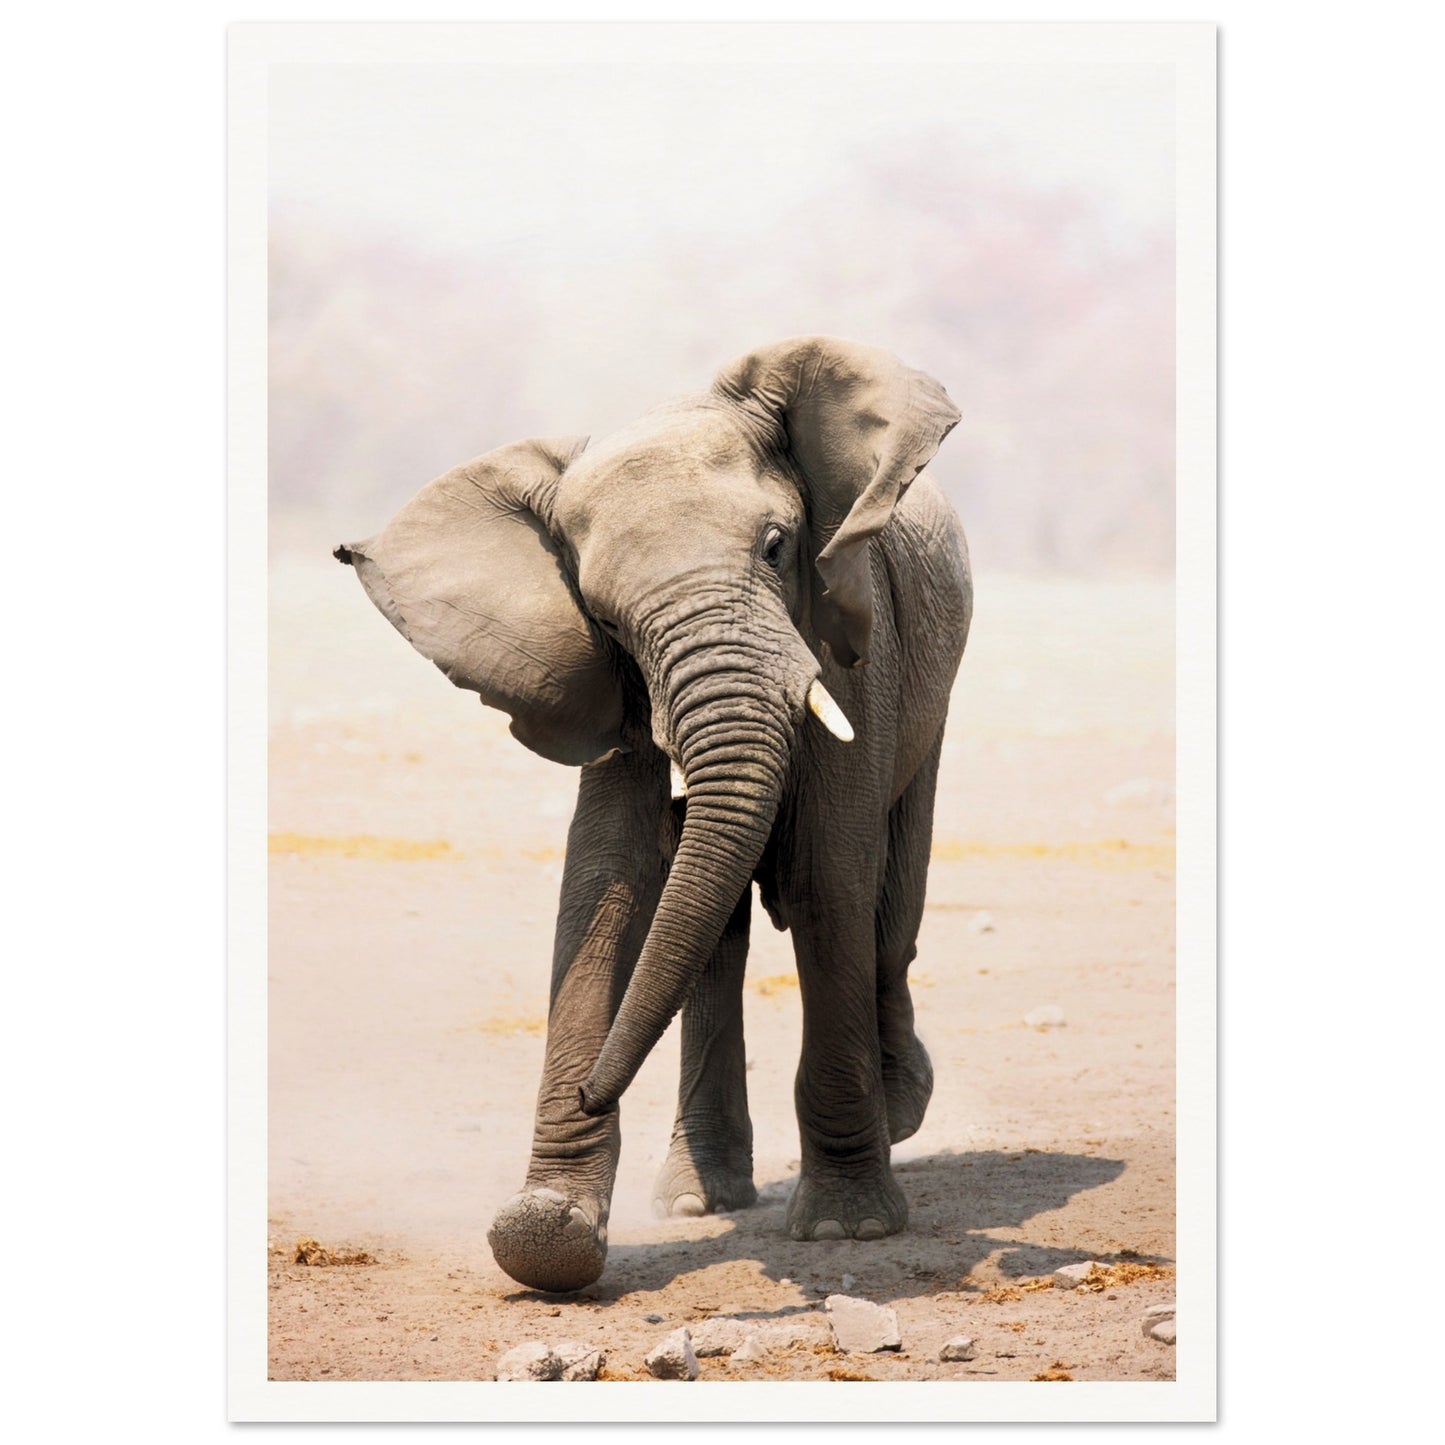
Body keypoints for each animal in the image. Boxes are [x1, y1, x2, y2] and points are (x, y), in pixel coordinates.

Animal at [335, 335, 973, 1293]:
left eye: (777, 546)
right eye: (600, 614)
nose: (590, 1089)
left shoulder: (854, 640)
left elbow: (827, 874)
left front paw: (846, 1228)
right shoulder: (606, 684)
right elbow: (609, 881)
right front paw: (546, 1236)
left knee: (890, 902)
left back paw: (902, 1108)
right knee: (715, 932)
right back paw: (696, 1199)